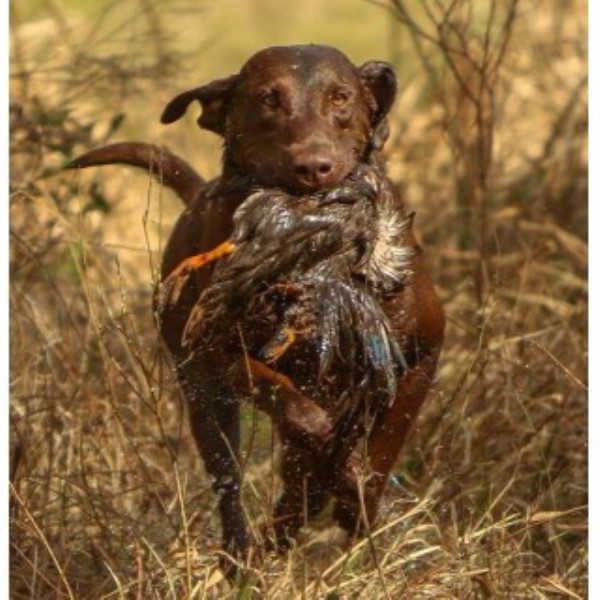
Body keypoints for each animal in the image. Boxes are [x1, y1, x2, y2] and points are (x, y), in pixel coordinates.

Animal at [70, 43, 446, 576]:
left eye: (341, 97)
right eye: (269, 99)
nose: (314, 166)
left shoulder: (421, 358)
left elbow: (380, 449)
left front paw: (361, 499)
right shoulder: (226, 358)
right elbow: (300, 414)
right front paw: (343, 479)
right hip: (204, 396)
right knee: (232, 477)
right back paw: (244, 555)